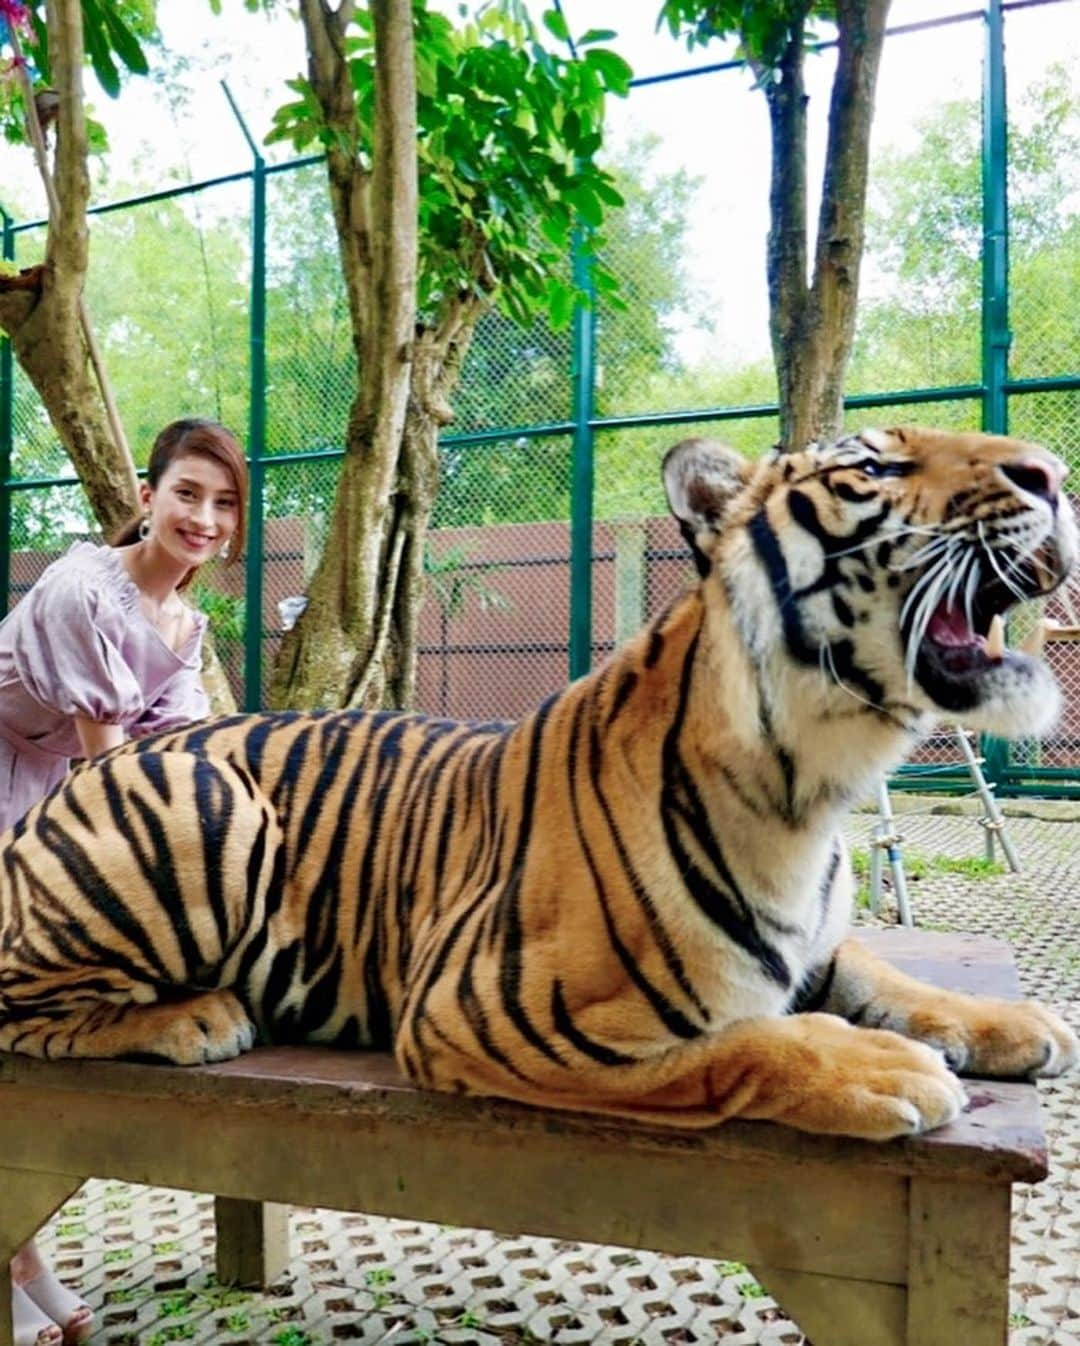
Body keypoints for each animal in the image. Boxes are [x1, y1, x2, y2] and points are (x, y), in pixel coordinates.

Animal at [0, 425, 1071, 1141]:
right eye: (874, 467)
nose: (1054, 475)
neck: (814, 783)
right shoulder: (485, 1012)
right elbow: (746, 1044)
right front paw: (882, 1067)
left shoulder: (814, 944)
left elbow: (884, 971)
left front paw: (1012, 1022)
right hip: (206, 806)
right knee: (21, 1013)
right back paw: (196, 1016)